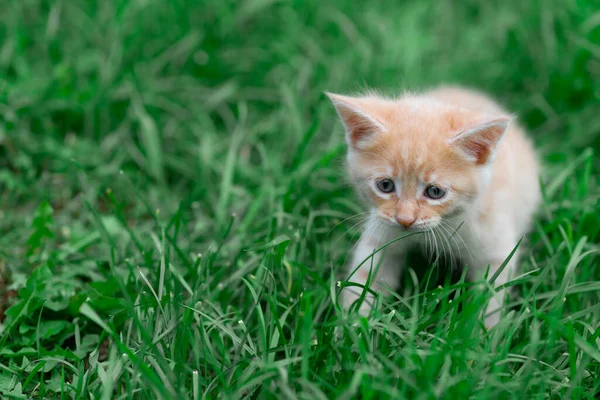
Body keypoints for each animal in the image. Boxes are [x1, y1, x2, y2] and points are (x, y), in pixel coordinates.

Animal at [326, 86, 540, 326]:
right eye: (385, 185)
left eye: (435, 192)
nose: (405, 219)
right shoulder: (380, 234)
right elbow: (365, 278)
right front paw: (351, 325)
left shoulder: (495, 249)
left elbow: (490, 298)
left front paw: (482, 332)